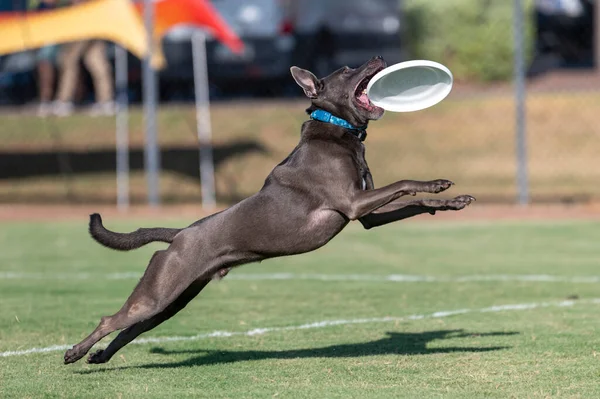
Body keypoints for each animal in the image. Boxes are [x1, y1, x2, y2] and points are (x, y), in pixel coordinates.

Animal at [63, 56, 476, 366]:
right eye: (346, 70)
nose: (377, 57)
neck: (337, 130)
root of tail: (180, 233)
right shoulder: (352, 203)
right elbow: (404, 182)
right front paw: (436, 183)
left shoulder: (367, 214)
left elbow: (411, 203)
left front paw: (451, 201)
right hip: (161, 289)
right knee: (113, 319)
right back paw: (74, 352)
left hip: (173, 298)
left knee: (133, 327)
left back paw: (99, 357)